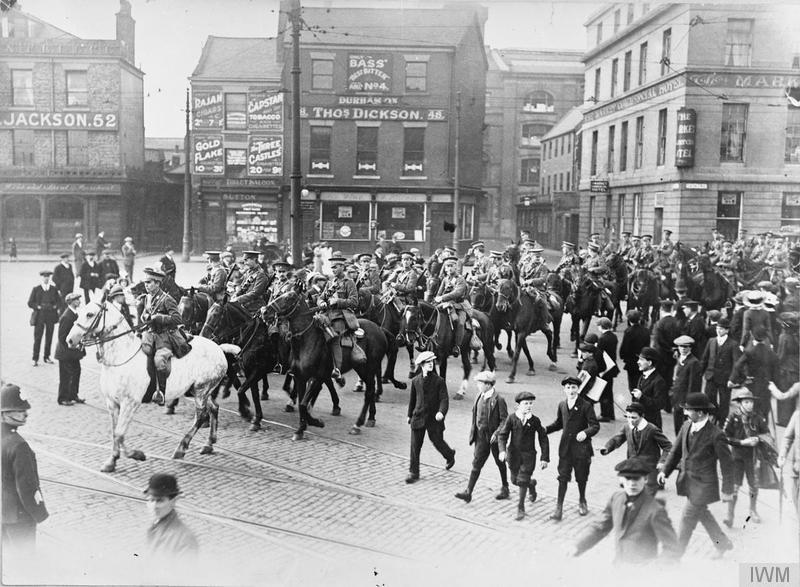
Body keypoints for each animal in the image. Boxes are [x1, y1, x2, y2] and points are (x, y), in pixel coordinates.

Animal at [66, 298, 238, 474]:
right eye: (79, 312)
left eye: (89, 314)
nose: (70, 340)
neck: (120, 358)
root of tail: (219, 348)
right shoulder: (112, 403)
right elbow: (115, 433)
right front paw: (112, 462)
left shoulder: (130, 403)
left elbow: (120, 433)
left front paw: (135, 454)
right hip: (198, 391)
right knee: (213, 408)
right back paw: (209, 444)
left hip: (201, 390)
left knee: (202, 415)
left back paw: (181, 448)